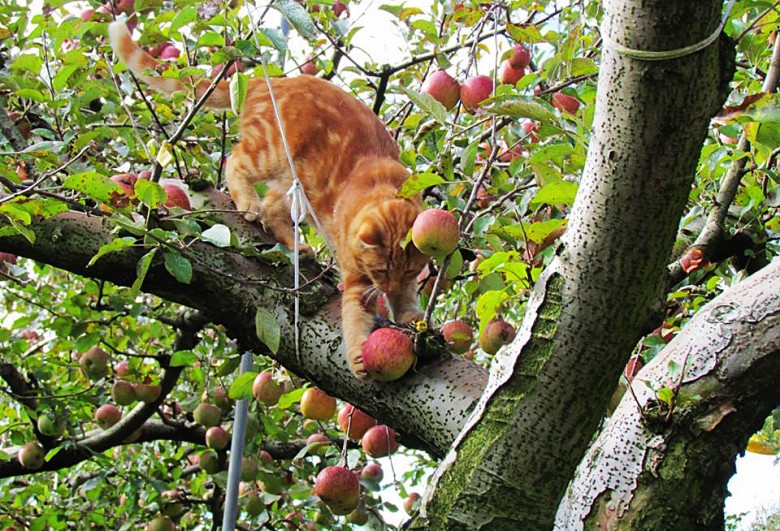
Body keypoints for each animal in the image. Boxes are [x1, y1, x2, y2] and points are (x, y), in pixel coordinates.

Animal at [107, 21, 430, 378]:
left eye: (409, 272)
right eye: (381, 271)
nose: (390, 288)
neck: (384, 186)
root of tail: (269, 82)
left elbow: (406, 301)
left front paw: (409, 314)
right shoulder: (357, 278)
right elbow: (356, 316)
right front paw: (359, 353)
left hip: (294, 182)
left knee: (272, 212)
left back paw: (296, 244)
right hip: (269, 153)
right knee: (235, 163)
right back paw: (248, 203)